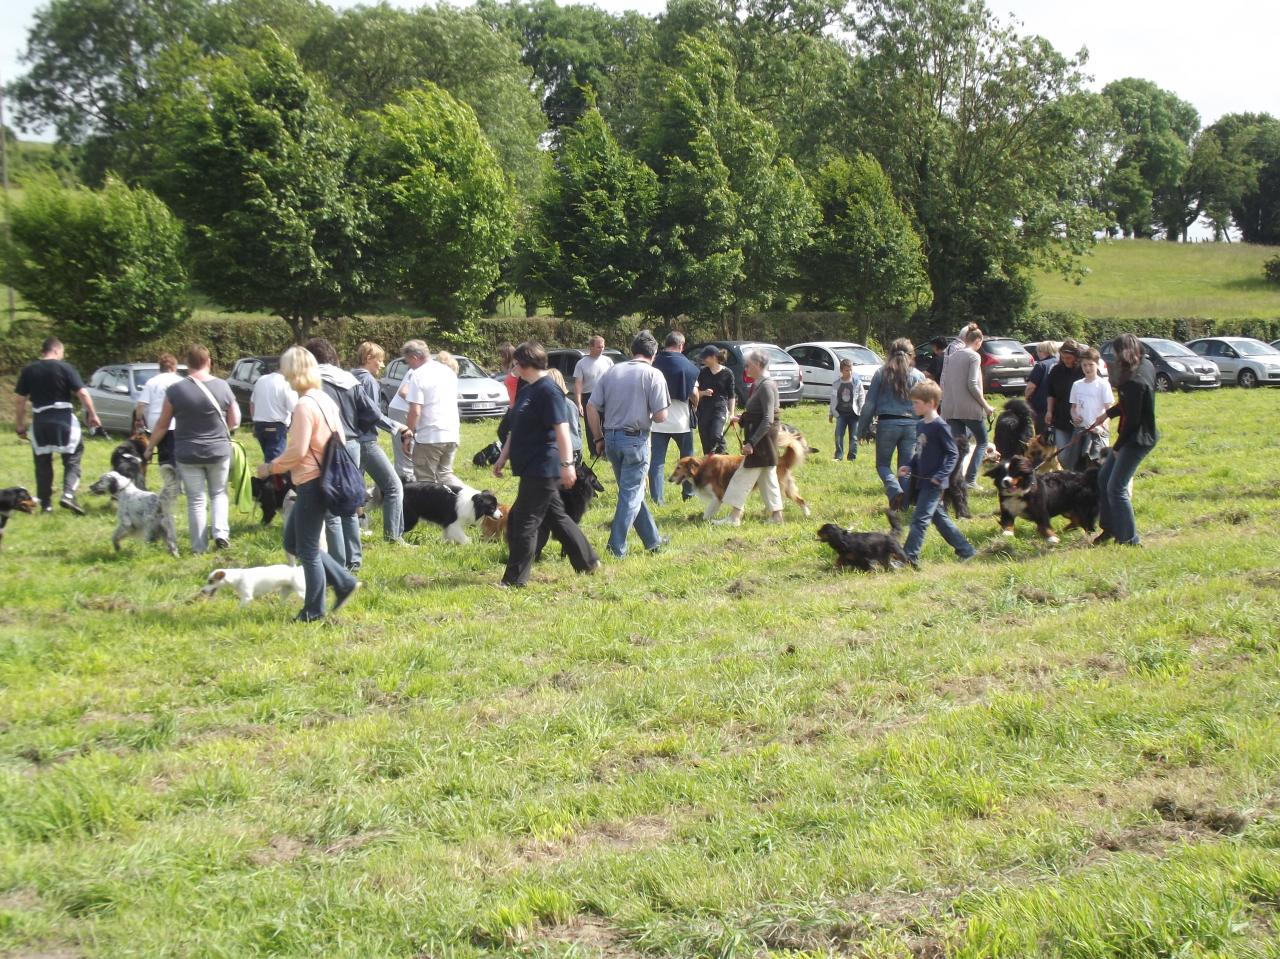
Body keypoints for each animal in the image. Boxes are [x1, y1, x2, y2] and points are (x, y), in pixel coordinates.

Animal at [670, 430, 808, 519]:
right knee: (800, 500)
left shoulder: (718, 495)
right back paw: (806, 514)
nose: (669, 479)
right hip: (784, 488)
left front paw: (705, 520)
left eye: (678, 468)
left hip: (778, 486)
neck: (702, 468)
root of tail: (781, 459)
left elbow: (709, 511)